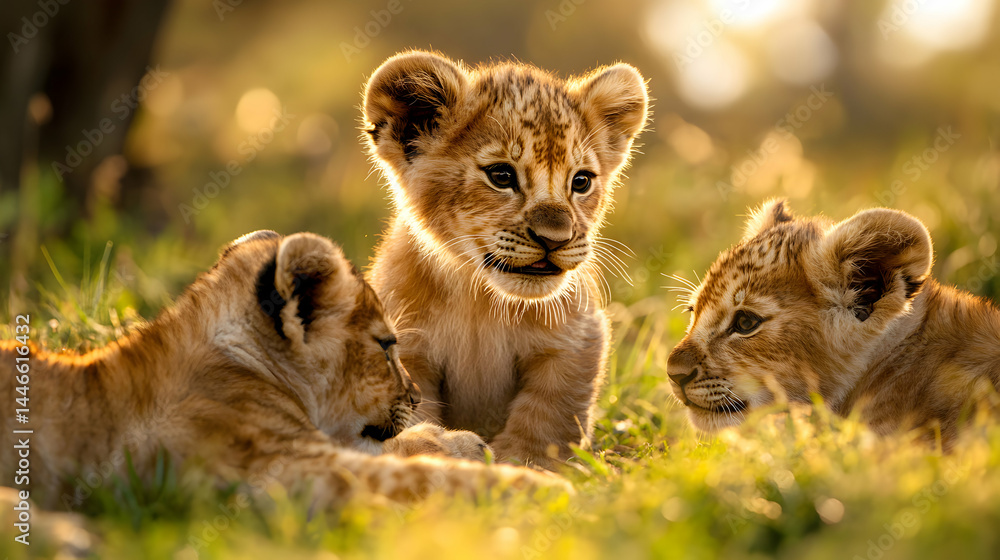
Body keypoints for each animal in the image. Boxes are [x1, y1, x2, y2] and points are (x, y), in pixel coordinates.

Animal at [0, 231, 566, 510]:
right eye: (386, 346)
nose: (413, 396)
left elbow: (394, 450)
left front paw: (461, 441)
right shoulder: (286, 468)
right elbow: (421, 475)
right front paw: (544, 489)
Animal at [361, 50, 648, 468]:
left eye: (581, 182)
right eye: (501, 176)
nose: (555, 239)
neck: (479, 299)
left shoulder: (577, 337)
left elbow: (549, 414)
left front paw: (527, 464)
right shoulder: (404, 351)